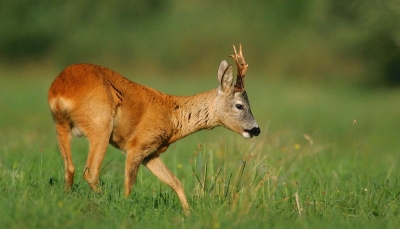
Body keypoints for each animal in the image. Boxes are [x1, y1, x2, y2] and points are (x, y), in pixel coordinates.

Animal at [47, 43, 260, 215]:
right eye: (240, 105)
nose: (256, 129)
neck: (173, 117)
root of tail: (58, 91)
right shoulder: (137, 145)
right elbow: (129, 184)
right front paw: (125, 207)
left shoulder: (151, 152)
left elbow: (175, 181)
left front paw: (188, 212)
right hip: (100, 124)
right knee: (90, 172)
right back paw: (102, 201)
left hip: (60, 124)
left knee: (69, 168)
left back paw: (67, 199)